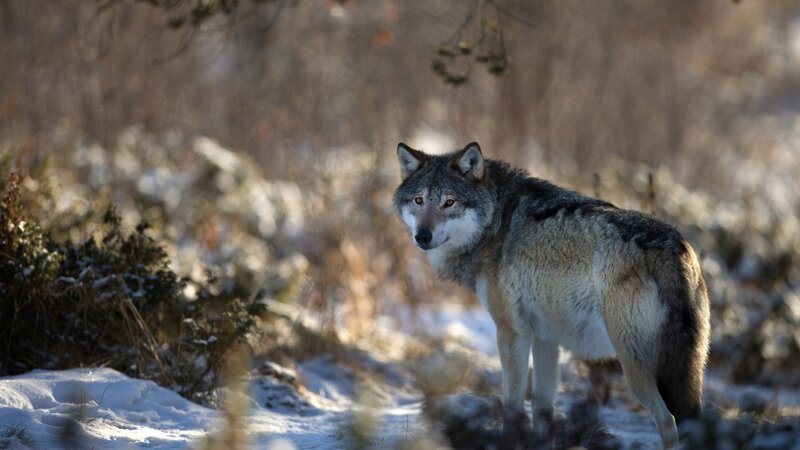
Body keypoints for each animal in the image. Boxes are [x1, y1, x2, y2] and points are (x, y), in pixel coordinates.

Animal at [394, 142, 710, 449]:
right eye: (419, 201)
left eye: (449, 202)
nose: (422, 236)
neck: (496, 220)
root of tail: (673, 248)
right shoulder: (546, 337)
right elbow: (542, 409)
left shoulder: (511, 333)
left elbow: (513, 406)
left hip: (633, 370)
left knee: (668, 421)